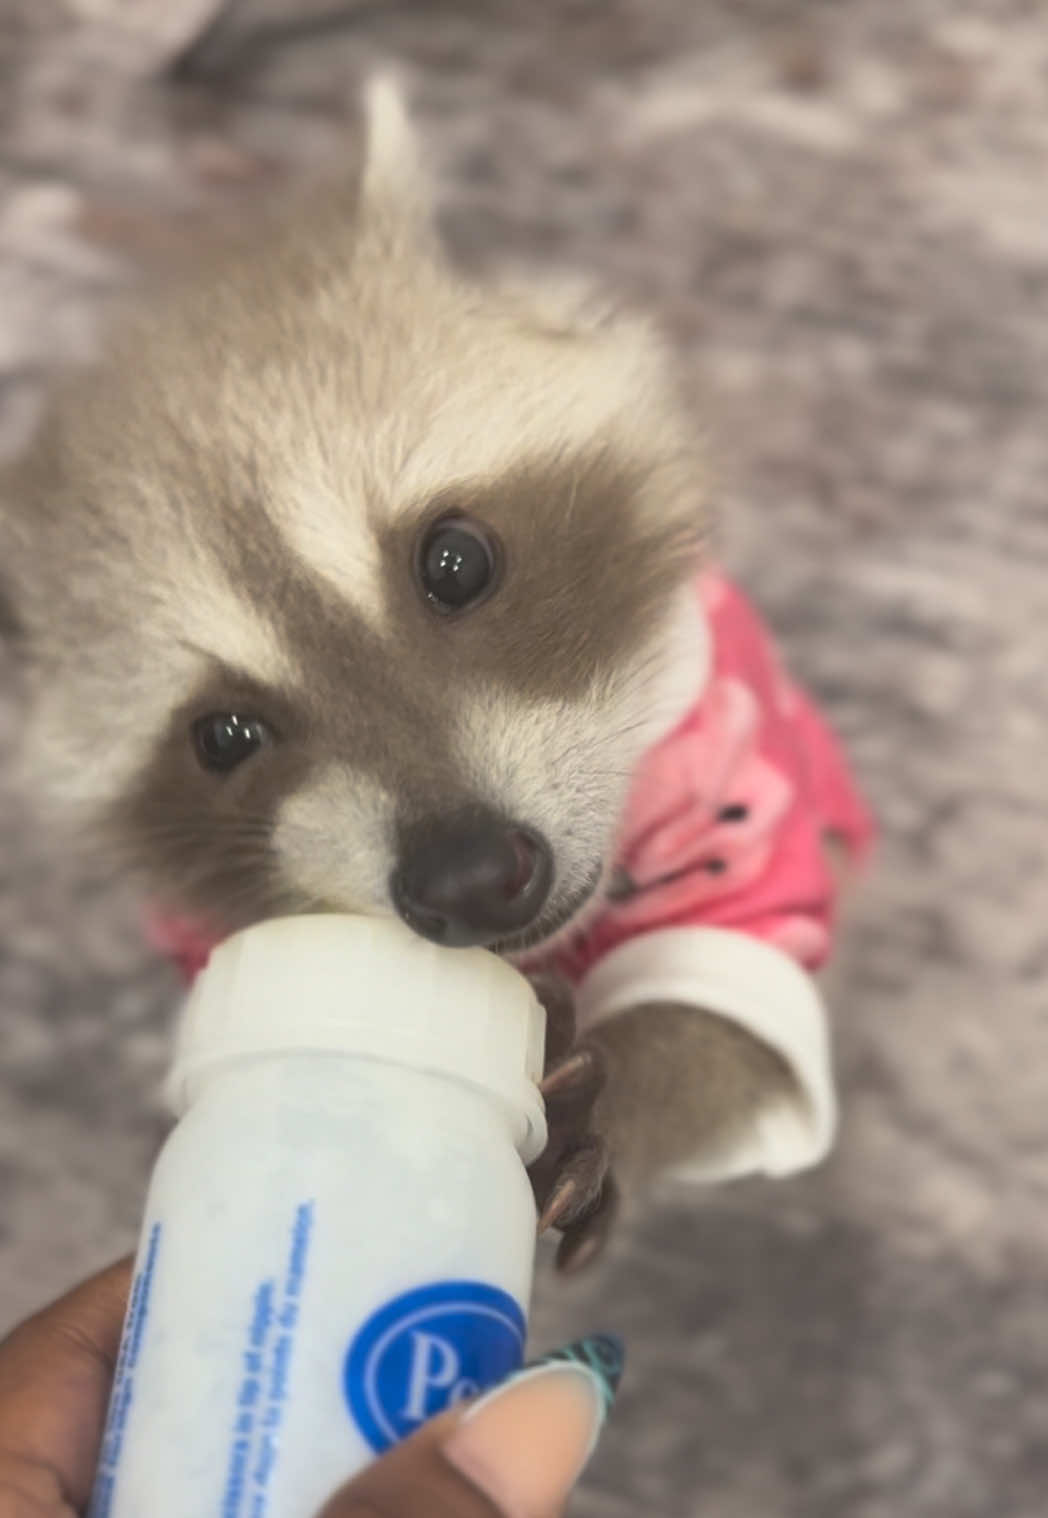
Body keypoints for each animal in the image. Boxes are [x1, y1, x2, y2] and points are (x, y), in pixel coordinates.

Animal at [0, 82, 869, 1271]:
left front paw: (626, 1091)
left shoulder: (731, 784)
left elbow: (723, 1000)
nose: (468, 877)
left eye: (455, 561)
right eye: (222, 736)